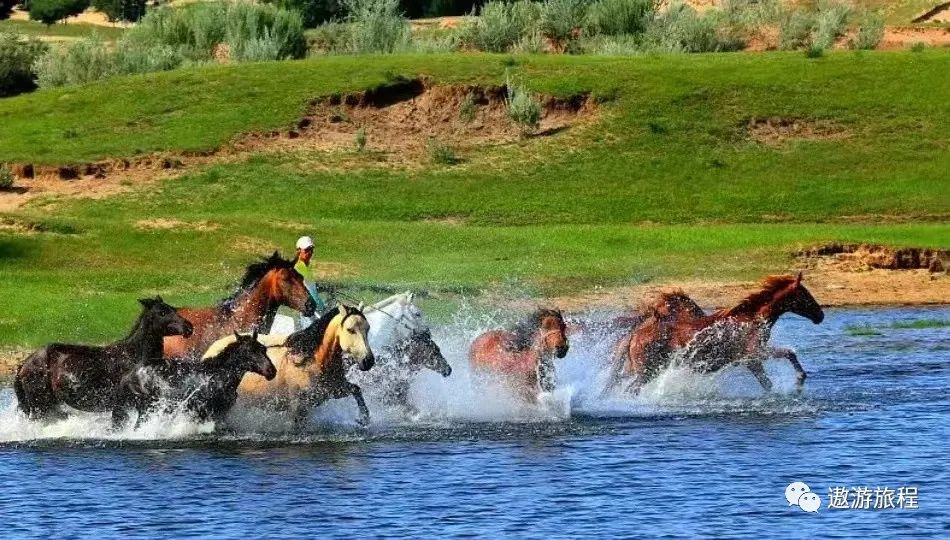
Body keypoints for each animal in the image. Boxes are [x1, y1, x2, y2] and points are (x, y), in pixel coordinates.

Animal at [14, 298, 194, 420]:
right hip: (42, 406)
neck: (135, 356)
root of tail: (23, 366)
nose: (189, 327)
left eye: (174, 309)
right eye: (162, 312)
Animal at [112, 332, 278, 428]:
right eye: (248, 351)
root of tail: (128, 376)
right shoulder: (205, 412)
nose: (271, 371)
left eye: (263, 349)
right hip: (146, 408)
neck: (221, 375)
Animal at [206, 304, 378, 426]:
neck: (312, 362)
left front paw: (363, 419)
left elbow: (356, 389)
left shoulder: (332, 391)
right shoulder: (298, 406)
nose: (368, 361)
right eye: (350, 330)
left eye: (368, 329)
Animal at [608, 274, 824, 392]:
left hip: (634, 370)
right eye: (805, 295)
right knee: (630, 390)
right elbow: (789, 353)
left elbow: (768, 384)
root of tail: (634, 336)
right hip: (647, 372)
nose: (820, 316)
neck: (753, 320)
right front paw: (800, 379)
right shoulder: (754, 354)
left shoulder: (751, 361)